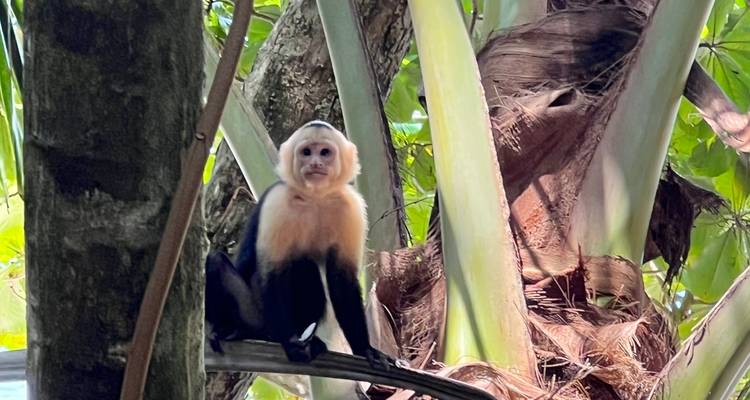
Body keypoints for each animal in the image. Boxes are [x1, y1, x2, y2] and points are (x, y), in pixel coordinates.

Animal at [205, 121, 393, 376]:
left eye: (324, 152)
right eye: (306, 152)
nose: (315, 163)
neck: (315, 197)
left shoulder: (351, 207)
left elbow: (341, 281)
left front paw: (366, 350)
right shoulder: (277, 202)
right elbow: (273, 274)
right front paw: (290, 343)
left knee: (306, 269)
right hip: (256, 316)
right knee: (217, 262)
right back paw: (235, 330)